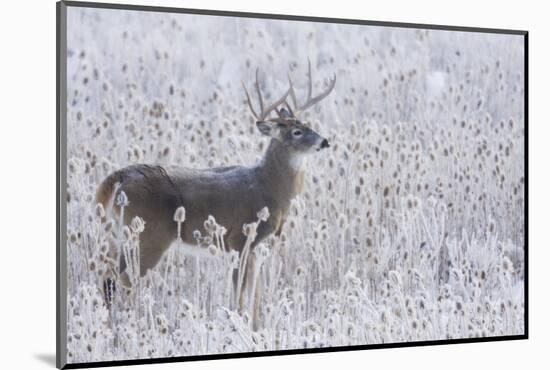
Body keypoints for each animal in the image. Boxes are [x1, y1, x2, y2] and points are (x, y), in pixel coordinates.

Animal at [96, 62, 336, 328]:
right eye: (296, 132)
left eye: (308, 125)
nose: (325, 141)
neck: (269, 187)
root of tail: (117, 178)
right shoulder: (239, 239)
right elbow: (239, 292)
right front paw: (237, 323)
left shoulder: (256, 247)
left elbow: (256, 294)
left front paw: (255, 327)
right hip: (149, 236)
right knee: (124, 281)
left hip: (117, 236)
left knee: (107, 278)